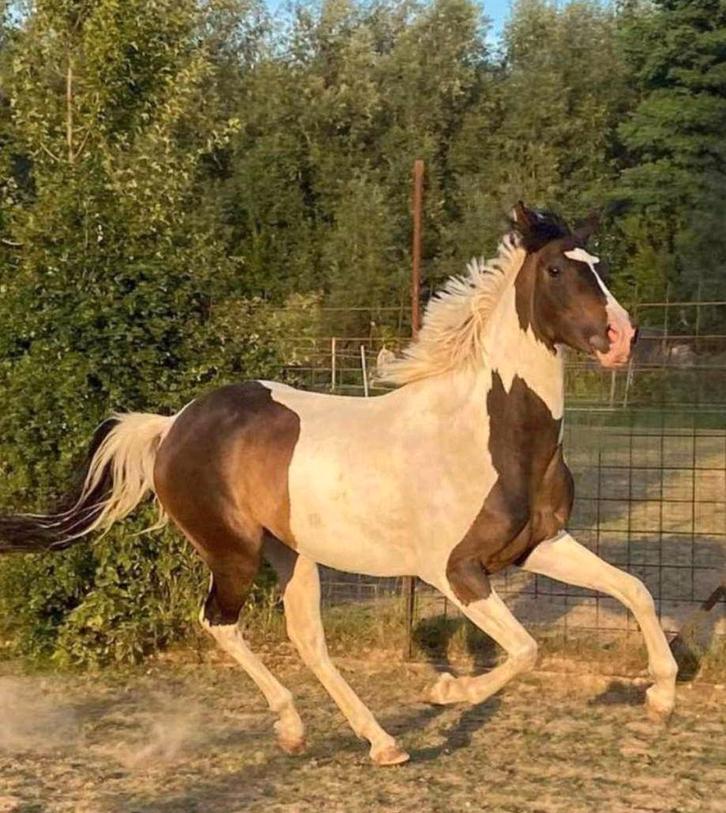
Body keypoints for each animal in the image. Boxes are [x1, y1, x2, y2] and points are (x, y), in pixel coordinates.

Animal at [0, 202, 678, 766]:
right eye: (559, 271)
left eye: (600, 268)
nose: (623, 338)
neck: (489, 432)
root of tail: (171, 426)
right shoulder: (454, 570)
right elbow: (525, 650)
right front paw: (446, 690)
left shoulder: (540, 545)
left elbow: (635, 591)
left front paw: (663, 696)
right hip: (233, 552)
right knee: (220, 623)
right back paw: (297, 727)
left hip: (293, 553)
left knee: (307, 639)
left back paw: (379, 742)